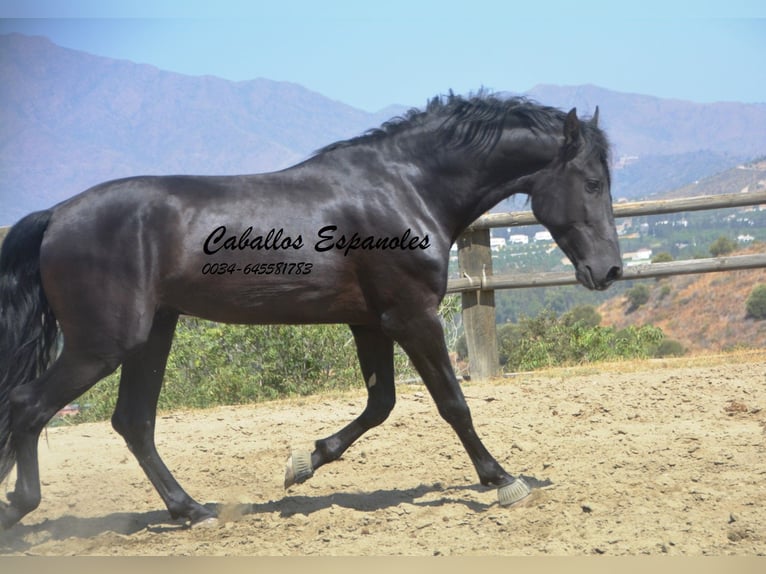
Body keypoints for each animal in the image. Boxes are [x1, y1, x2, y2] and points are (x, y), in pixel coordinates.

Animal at [0, 94, 620, 532]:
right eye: (592, 182)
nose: (610, 270)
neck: (404, 188)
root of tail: (56, 215)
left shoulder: (371, 322)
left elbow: (380, 405)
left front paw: (302, 463)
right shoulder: (414, 317)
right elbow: (453, 404)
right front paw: (503, 480)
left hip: (152, 335)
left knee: (132, 422)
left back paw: (192, 511)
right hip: (103, 344)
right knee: (30, 406)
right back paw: (20, 507)